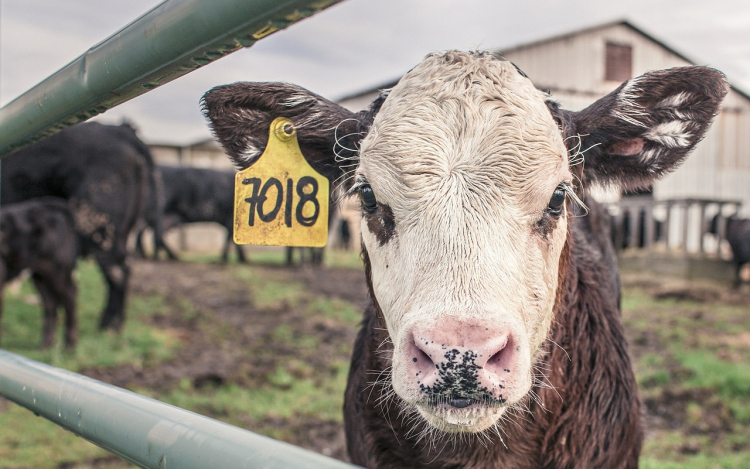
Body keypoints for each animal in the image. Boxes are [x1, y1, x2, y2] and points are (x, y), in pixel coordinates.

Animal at [0, 197, 78, 348]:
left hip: (59, 270)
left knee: (69, 297)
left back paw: (69, 345)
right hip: (40, 274)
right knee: (50, 303)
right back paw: (46, 344)